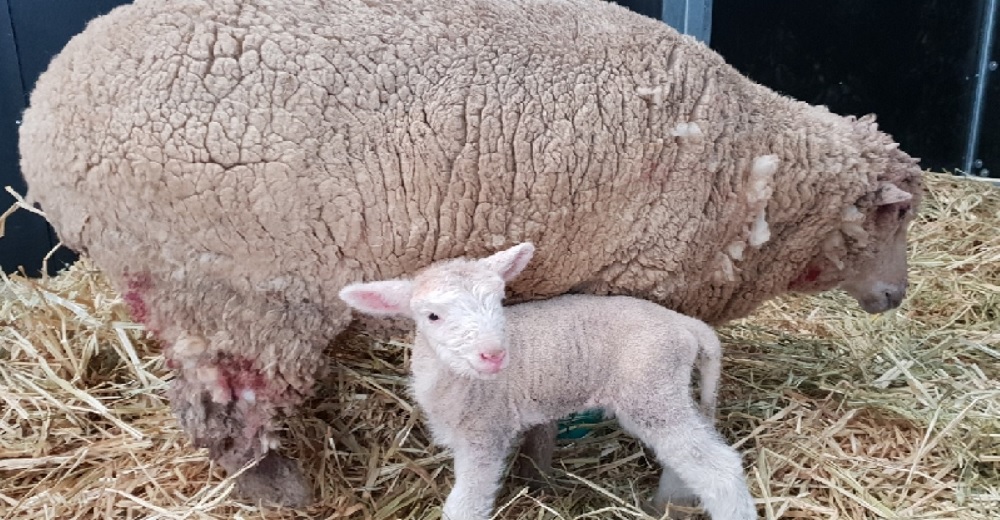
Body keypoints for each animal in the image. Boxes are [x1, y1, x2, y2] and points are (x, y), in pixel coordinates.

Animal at [340, 244, 752, 520]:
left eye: (500, 301)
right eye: (432, 316)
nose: (494, 355)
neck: (458, 385)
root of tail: (686, 325)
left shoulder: (485, 434)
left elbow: (466, 504)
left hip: (650, 389)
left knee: (720, 470)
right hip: (663, 391)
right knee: (685, 458)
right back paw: (662, 504)